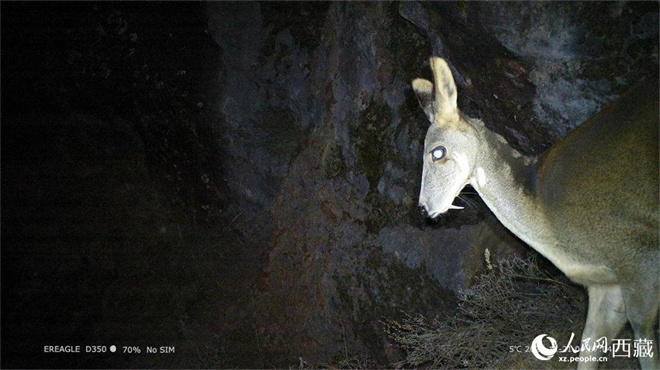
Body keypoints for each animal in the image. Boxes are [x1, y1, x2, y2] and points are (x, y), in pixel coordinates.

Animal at [416, 56, 656, 368]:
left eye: (438, 152)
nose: (423, 208)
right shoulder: (605, 284)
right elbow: (588, 346)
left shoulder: (640, 256)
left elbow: (644, 337)